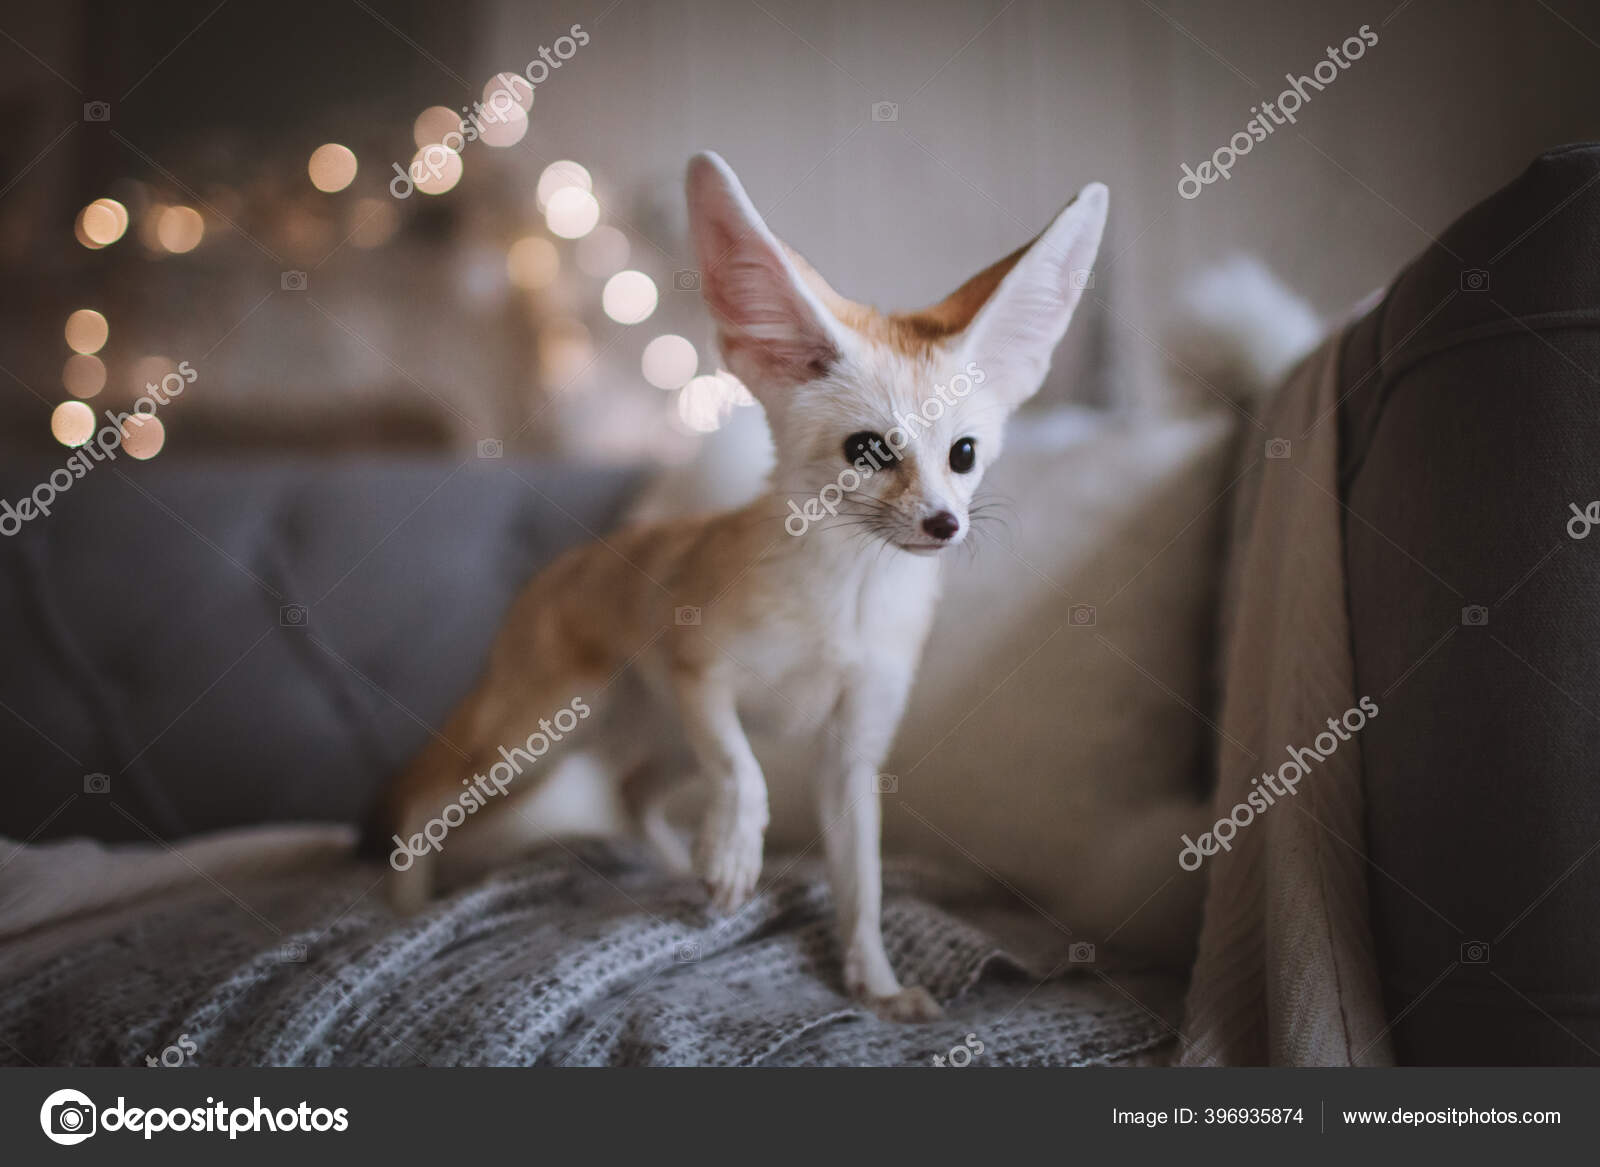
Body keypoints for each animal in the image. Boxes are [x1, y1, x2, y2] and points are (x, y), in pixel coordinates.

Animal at [366, 150, 1108, 1021]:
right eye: (868, 451)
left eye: (963, 454)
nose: (944, 524)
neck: (844, 605)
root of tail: (558, 569)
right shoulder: (702, 675)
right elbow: (744, 771)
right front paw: (735, 851)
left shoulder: (851, 755)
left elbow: (862, 885)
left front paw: (877, 984)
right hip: (536, 737)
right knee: (425, 795)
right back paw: (407, 904)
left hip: (644, 739)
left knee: (631, 791)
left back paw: (676, 863)